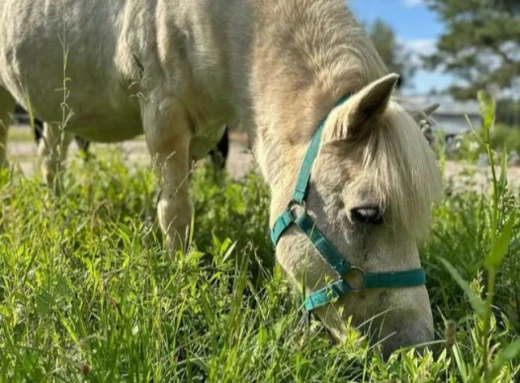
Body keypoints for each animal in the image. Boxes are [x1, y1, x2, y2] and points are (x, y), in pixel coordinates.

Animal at [0, 0, 442, 360]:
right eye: (366, 213)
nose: (418, 349)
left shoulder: (209, 128)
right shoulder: (163, 112)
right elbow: (176, 211)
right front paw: (177, 277)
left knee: (51, 158)